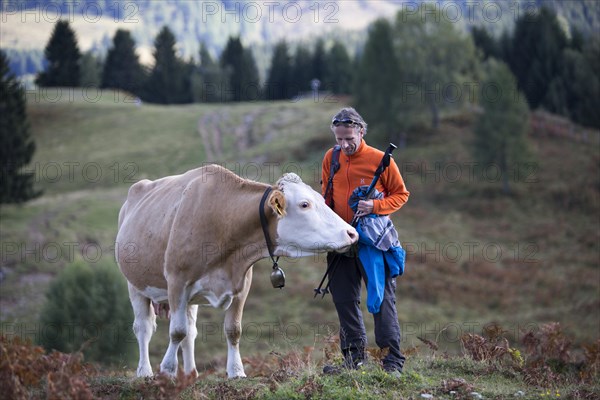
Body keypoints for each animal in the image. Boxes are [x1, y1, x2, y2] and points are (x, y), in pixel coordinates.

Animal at [116, 165, 356, 378]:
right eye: (304, 204)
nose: (352, 233)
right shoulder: (177, 281)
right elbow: (176, 331)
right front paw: (166, 370)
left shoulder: (241, 282)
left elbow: (233, 330)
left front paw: (236, 371)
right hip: (134, 285)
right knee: (144, 328)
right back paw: (145, 372)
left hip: (190, 300)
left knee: (191, 332)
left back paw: (191, 373)